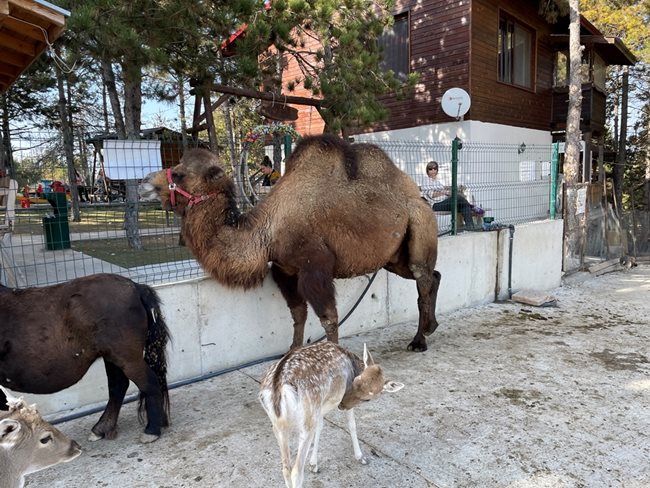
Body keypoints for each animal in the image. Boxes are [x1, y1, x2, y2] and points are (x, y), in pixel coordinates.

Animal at [0, 274, 170, 442]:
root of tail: (135, 286)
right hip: (112, 357)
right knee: (118, 386)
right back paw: (103, 428)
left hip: (128, 358)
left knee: (149, 383)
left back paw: (152, 429)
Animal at [139, 135, 438, 352]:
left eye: (179, 174)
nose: (144, 182)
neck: (267, 231)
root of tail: (419, 196)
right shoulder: (283, 269)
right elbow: (298, 314)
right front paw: (292, 352)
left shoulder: (314, 265)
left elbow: (328, 317)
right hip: (393, 256)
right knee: (432, 275)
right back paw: (430, 327)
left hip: (420, 224)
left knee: (422, 278)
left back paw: (418, 341)